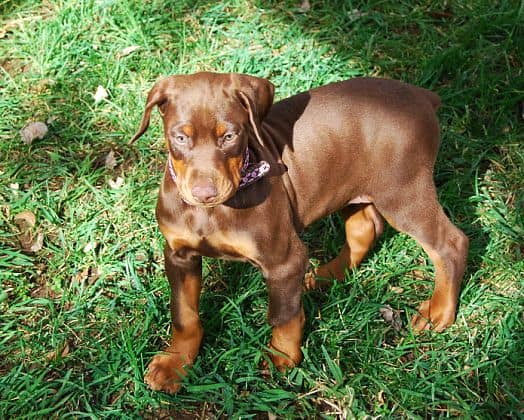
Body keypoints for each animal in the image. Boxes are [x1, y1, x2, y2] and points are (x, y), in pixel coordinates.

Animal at [130, 72, 466, 394]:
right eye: (180, 137)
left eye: (229, 136)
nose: (204, 194)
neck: (212, 212)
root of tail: (421, 95)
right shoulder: (178, 254)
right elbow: (183, 314)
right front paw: (175, 364)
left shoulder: (283, 261)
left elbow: (283, 314)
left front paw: (281, 357)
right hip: (347, 186)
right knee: (364, 229)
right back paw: (322, 276)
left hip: (402, 192)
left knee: (451, 243)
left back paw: (438, 312)